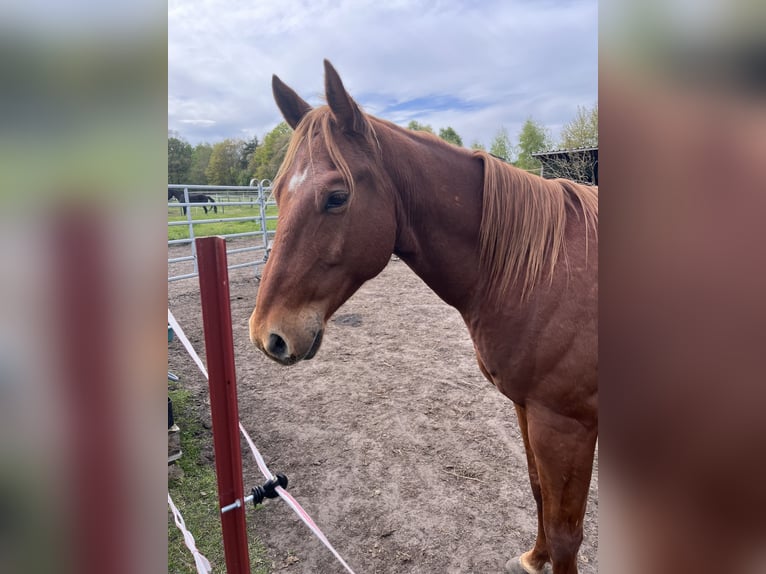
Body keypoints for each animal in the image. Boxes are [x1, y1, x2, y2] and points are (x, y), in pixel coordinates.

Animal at [249, 60, 598, 574]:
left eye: (336, 197)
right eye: (276, 193)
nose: (266, 335)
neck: (543, 270)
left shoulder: (567, 427)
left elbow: (566, 533)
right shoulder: (527, 409)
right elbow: (537, 493)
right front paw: (535, 557)